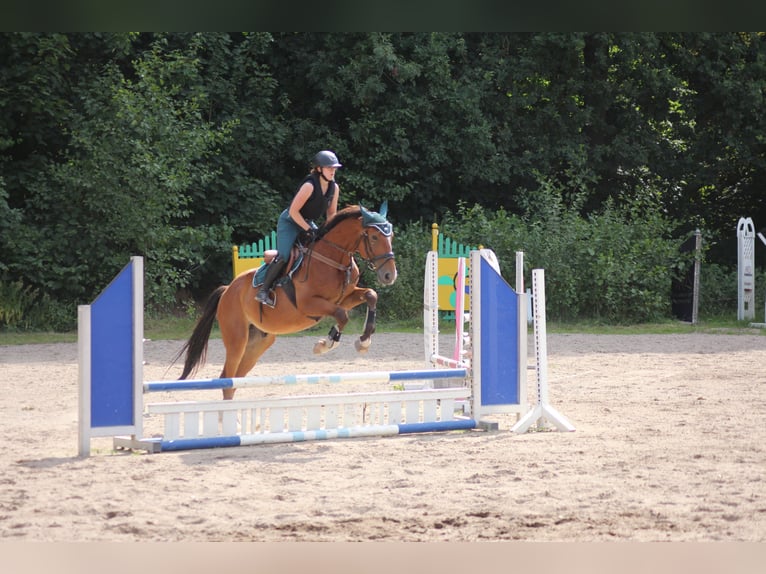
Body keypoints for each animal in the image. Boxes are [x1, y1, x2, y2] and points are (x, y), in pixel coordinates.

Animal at [175, 204, 400, 400]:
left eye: (391, 237)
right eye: (374, 237)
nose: (389, 275)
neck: (332, 259)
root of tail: (227, 290)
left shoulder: (345, 298)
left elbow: (370, 295)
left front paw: (364, 341)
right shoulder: (308, 304)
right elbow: (342, 315)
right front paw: (324, 345)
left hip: (258, 342)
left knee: (234, 379)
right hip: (237, 339)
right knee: (227, 378)